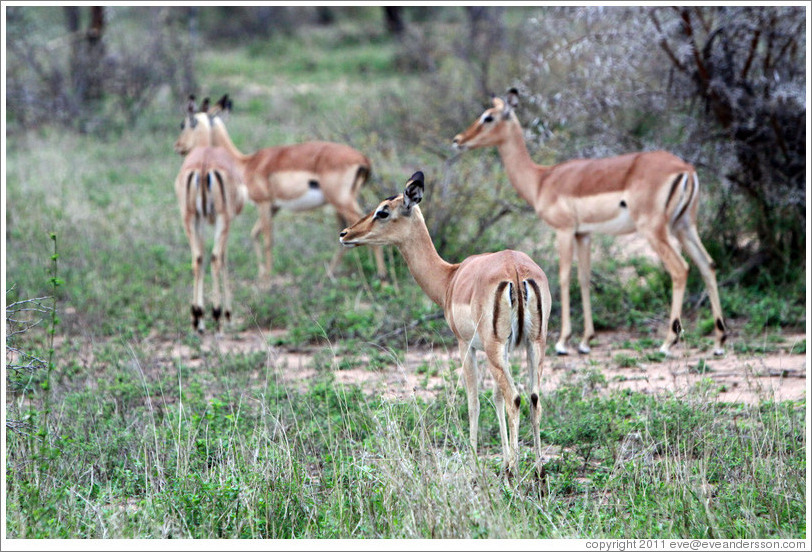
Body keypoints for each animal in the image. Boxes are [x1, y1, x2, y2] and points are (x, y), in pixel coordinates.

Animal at [174, 96, 247, 332]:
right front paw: (228, 315)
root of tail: (204, 166)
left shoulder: (203, 220)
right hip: (222, 219)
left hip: (189, 218)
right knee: (215, 257)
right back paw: (217, 315)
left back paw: (198, 317)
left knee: (197, 257)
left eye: (182, 124)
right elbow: (223, 257)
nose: (177, 146)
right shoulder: (225, 220)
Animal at [175, 94, 387, 283]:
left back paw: (383, 279)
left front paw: (267, 280)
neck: (246, 164)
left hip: (342, 202)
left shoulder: (264, 204)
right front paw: (262, 275)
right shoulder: (274, 207)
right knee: (344, 233)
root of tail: (363, 159)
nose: (178, 146)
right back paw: (329, 275)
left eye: (185, 123)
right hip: (339, 205)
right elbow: (254, 234)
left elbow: (267, 240)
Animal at [340, 171, 552, 477]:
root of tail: (515, 270)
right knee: (533, 398)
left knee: (515, 398)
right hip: (533, 344)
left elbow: (474, 401)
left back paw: (516, 473)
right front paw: (504, 460)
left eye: (383, 211)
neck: (450, 278)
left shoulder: (465, 345)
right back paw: (538, 471)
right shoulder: (507, 348)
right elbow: (495, 398)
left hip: (495, 348)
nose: (345, 234)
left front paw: (477, 465)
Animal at [453, 89, 727, 357]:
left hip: (655, 230)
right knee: (708, 264)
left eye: (488, 117)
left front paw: (563, 342)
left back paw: (668, 342)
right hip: (684, 227)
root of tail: (686, 169)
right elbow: (584, 277)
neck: (541, 180)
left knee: (680, 269)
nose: (458, 140)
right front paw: (586, 340)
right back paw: (719, 341)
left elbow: (564, 277)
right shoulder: (583, 234)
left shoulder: (564, 231)